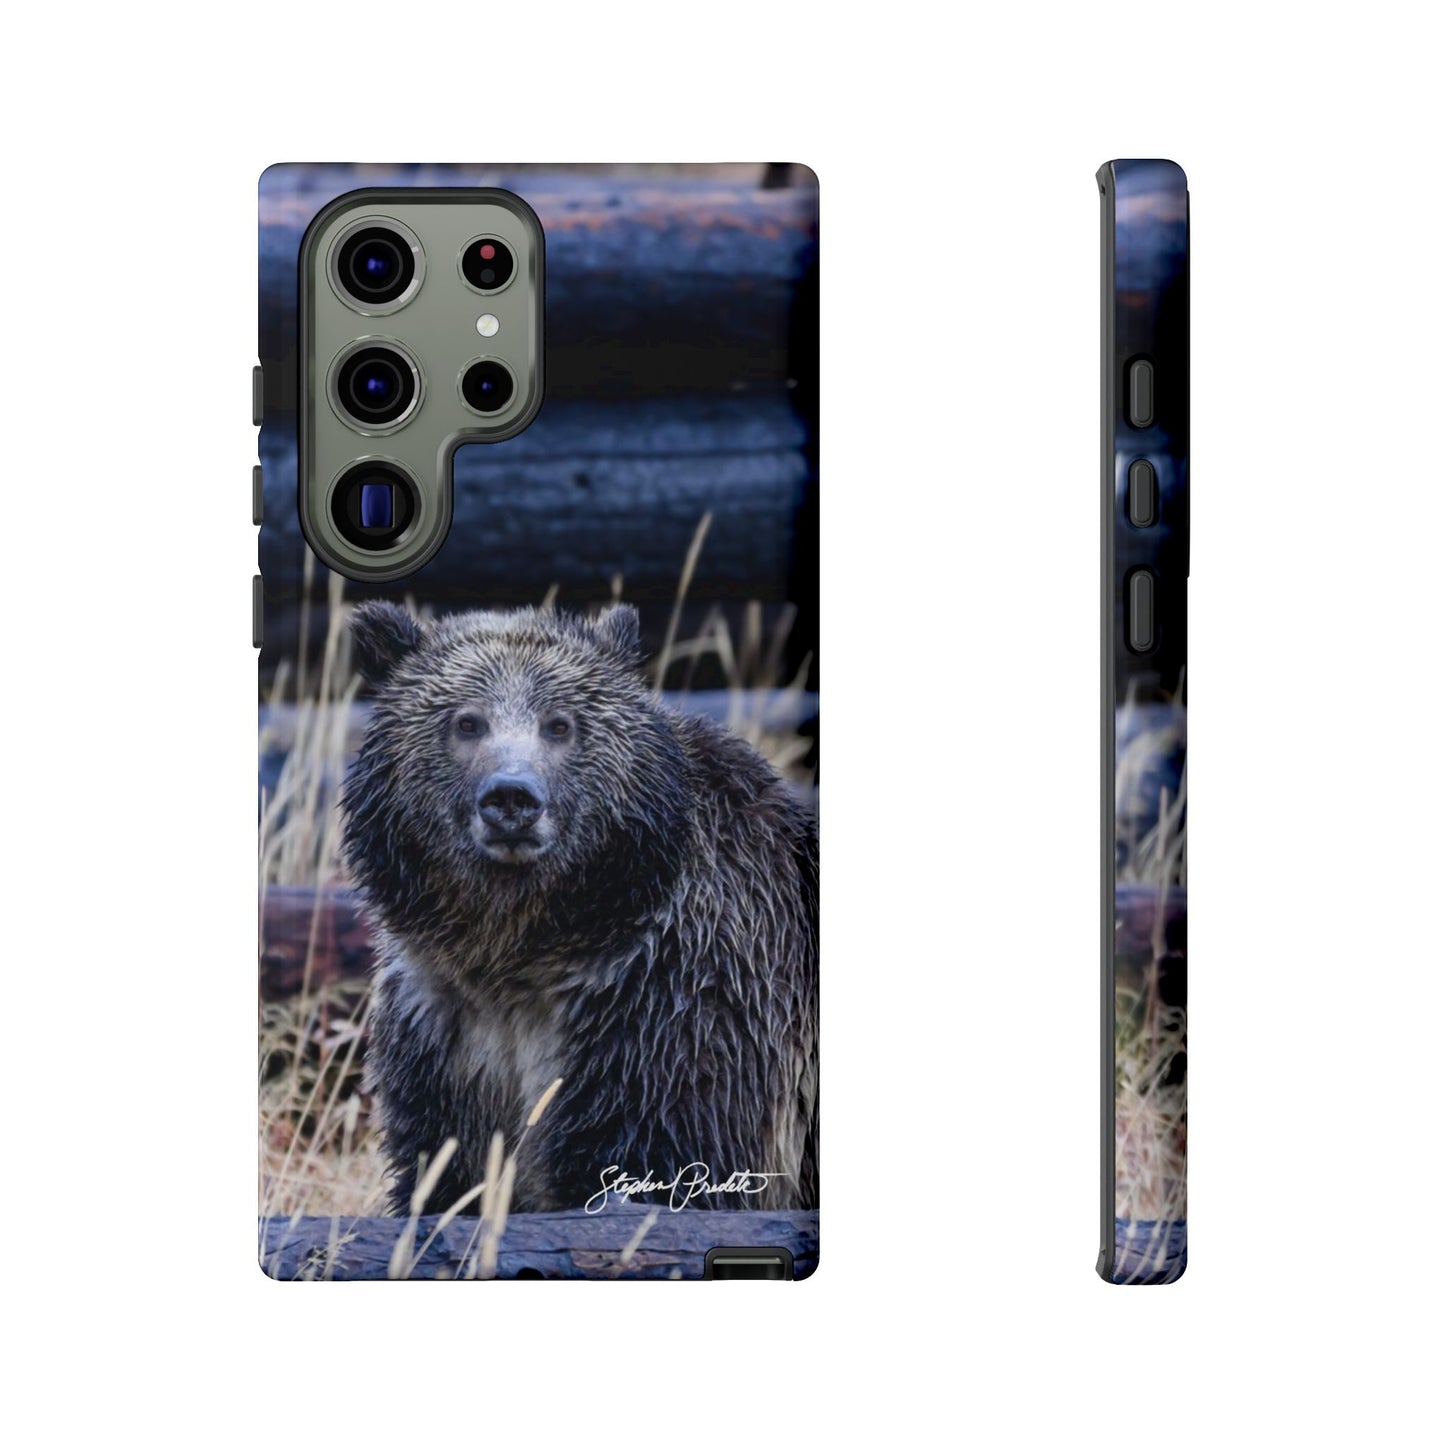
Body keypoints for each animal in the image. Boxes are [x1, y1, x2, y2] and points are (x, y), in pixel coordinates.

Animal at [341, 600, 818, 1217]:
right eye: (467, 722)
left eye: (559, 724)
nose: (512, 798)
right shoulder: (446, 1031)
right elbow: (442, 1169)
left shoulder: (675, 1009)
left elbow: (659, 1161)